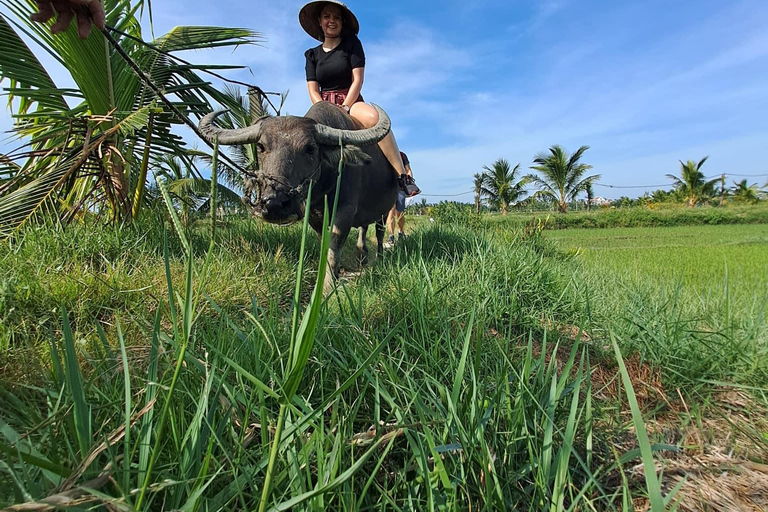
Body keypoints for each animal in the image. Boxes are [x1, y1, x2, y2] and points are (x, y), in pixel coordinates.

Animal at [199, 101, 398, 292]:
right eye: (261, 146)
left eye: (310, 148)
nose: (274, 204)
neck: (325, 184)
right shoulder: (313, 215)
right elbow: (324, 243)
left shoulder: (345, 211)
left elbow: (335, 244)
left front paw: (327, 286)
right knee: (364, 228)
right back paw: (362, 256)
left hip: (385, 211)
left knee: (379, 231)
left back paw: (380, 257)